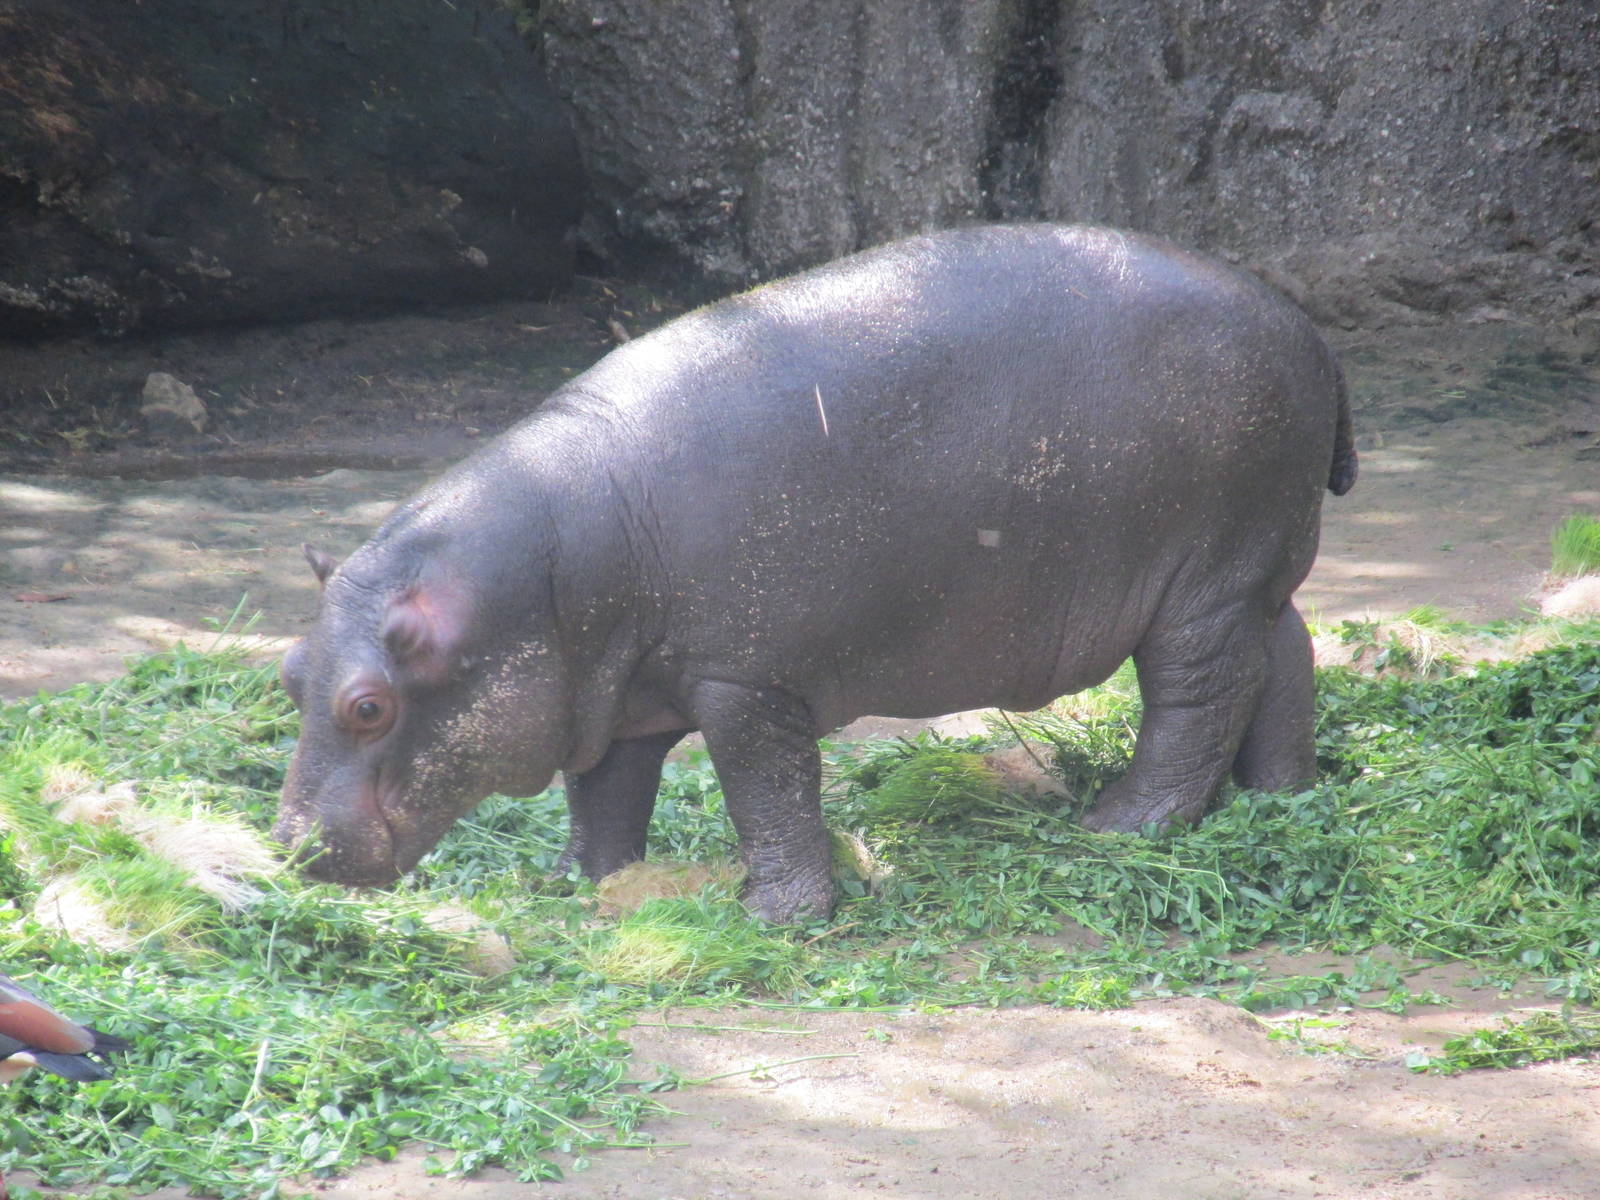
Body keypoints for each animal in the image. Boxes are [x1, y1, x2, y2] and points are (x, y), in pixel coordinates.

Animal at [274, 223, 1355, 922]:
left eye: (368, 705)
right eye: (288, 672)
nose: (287, 847)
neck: (543, 569)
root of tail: (1306, 326)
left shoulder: (746, 681)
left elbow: (769, 790)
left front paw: (778, 916)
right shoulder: (616, 689)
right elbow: (606, 791)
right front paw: (579, 884)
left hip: (1201, 580)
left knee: (1201, 693)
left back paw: (1122, 826)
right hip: (1250, 568)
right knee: (1286, 653)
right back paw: (1281, 800)